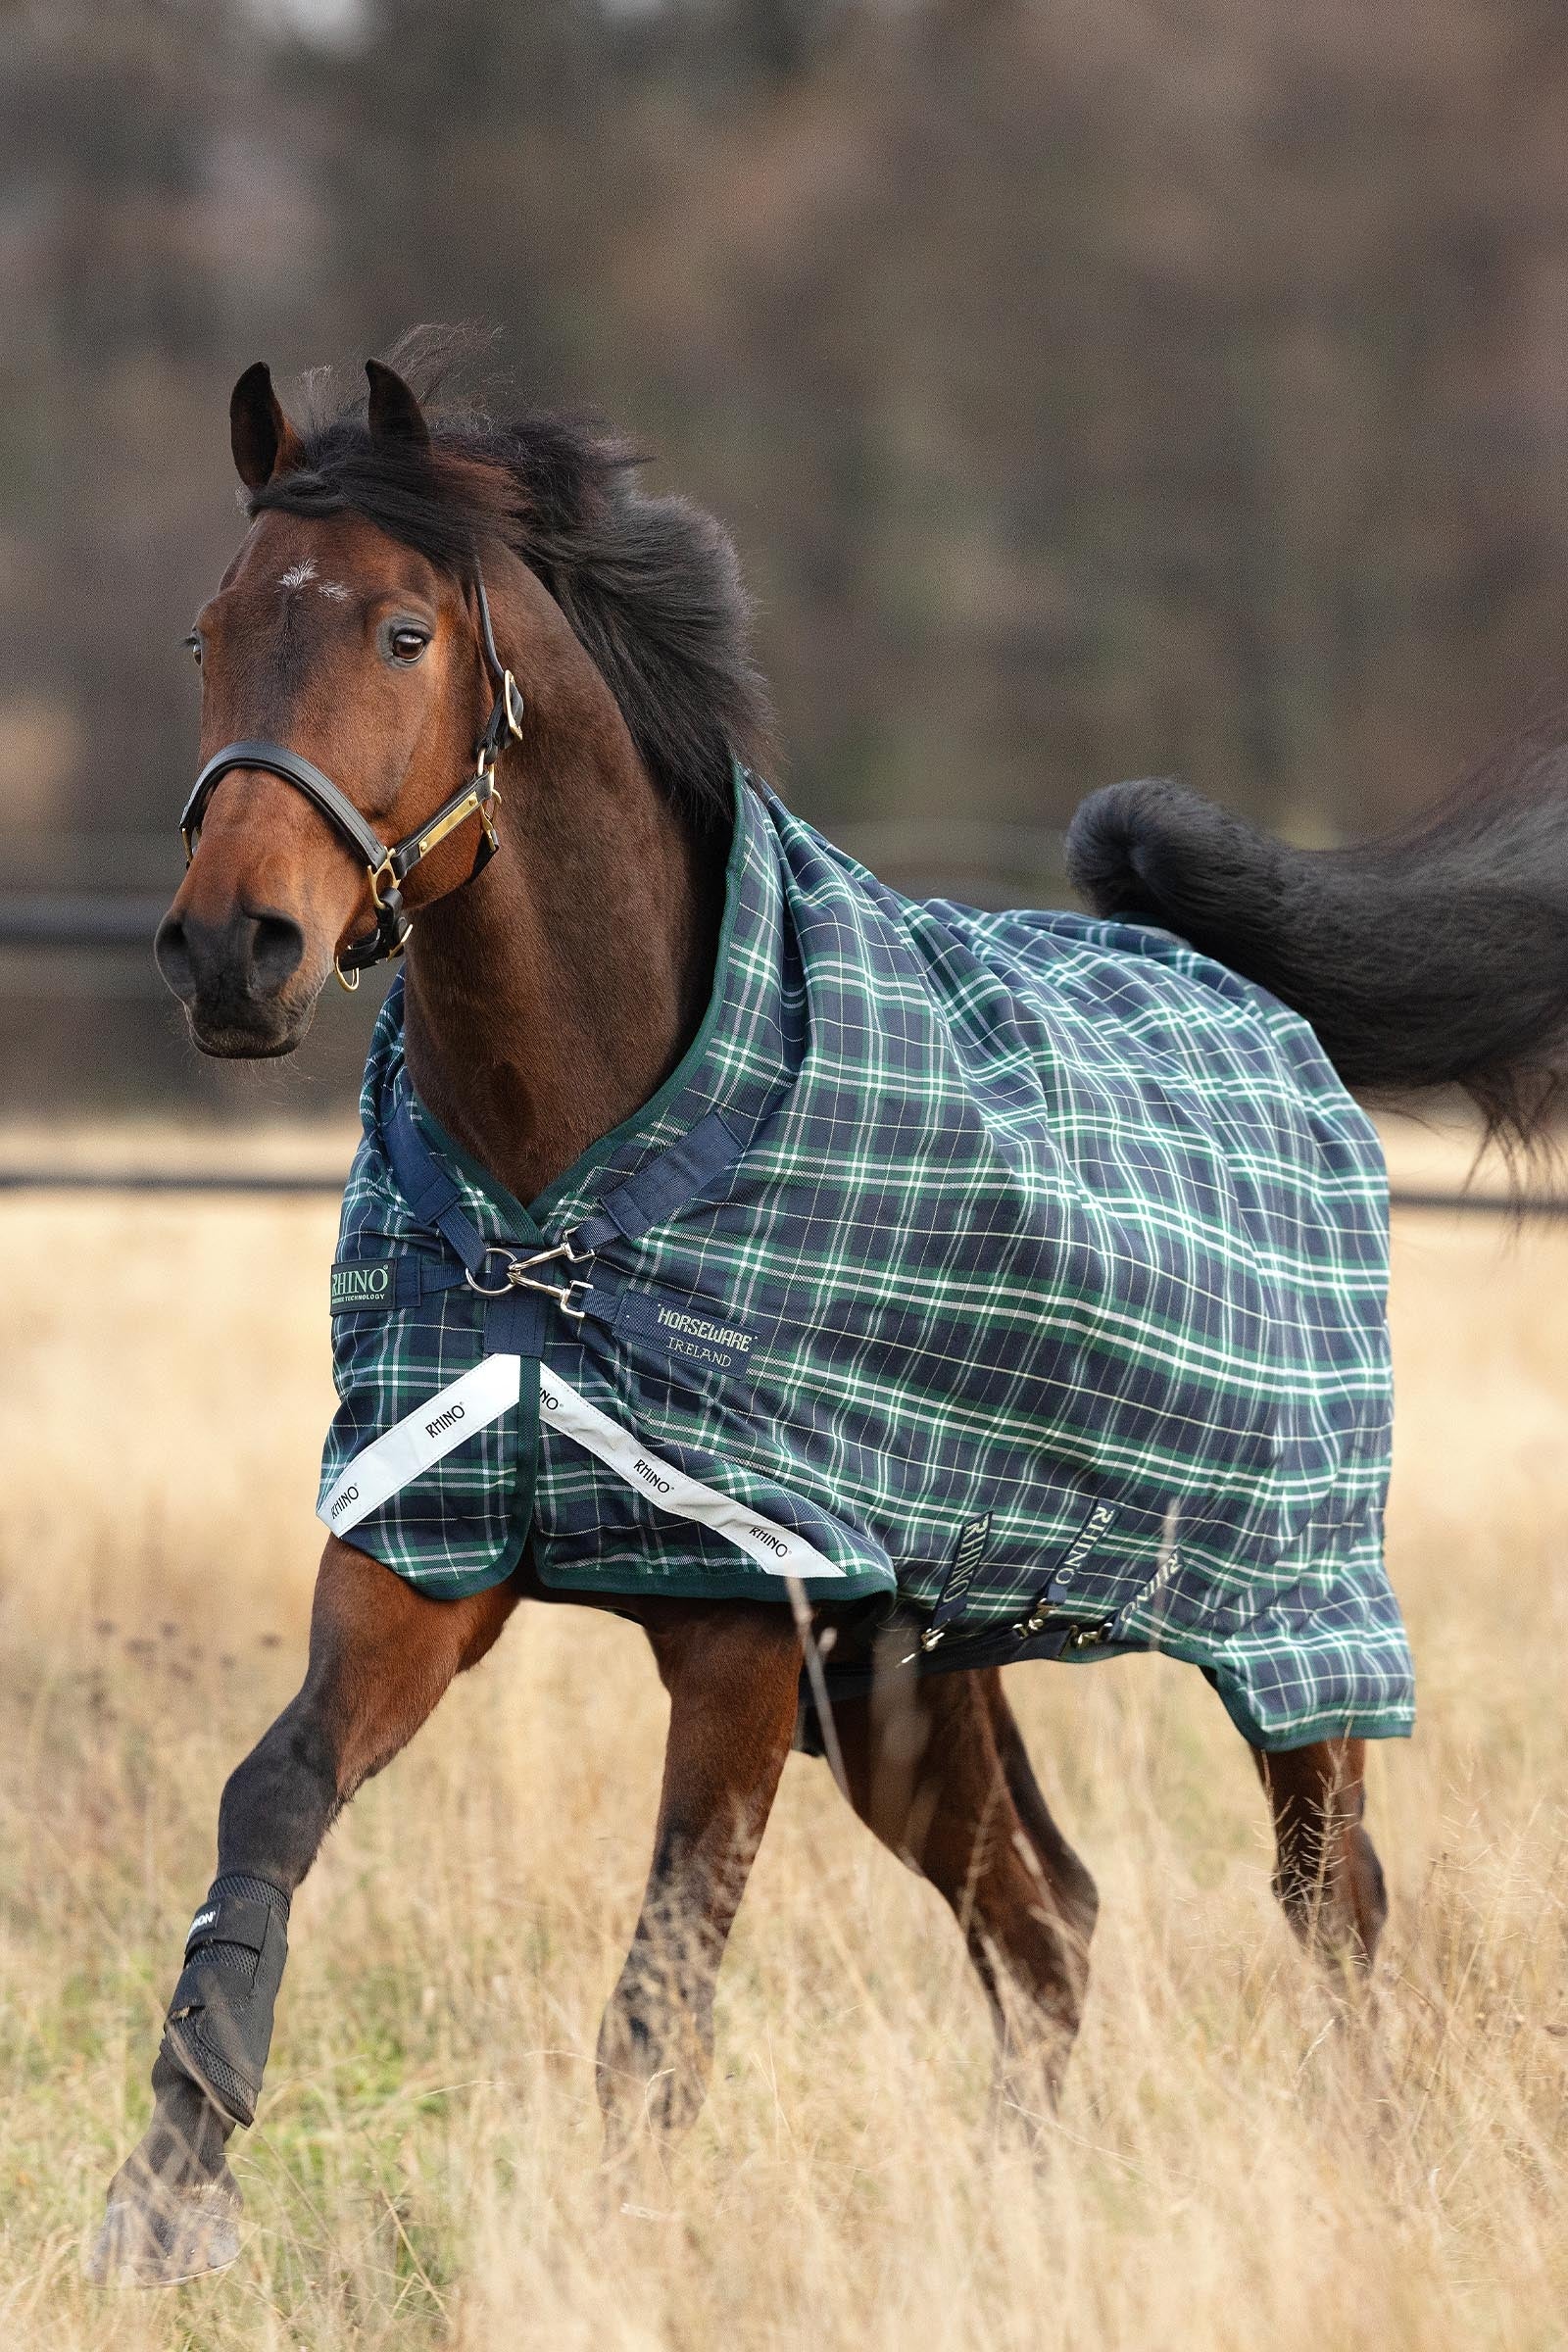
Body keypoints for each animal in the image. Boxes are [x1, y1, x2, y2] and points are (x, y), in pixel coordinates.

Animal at [90, 344, 1568, 2286]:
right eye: (209, 633)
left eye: (404, 633)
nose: (231, 954)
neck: (567, 1206)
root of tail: (1241, 990)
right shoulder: (425, 1537)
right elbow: (269, 1804)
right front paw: (162, 2203)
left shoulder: (742, 1616)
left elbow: (664, 1974)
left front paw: (621, 2249)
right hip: (914, 1679)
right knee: (1048, 1925)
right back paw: (1022, 2222)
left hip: (1289, 1613)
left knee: (1331, 1900)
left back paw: (1365, 2180)